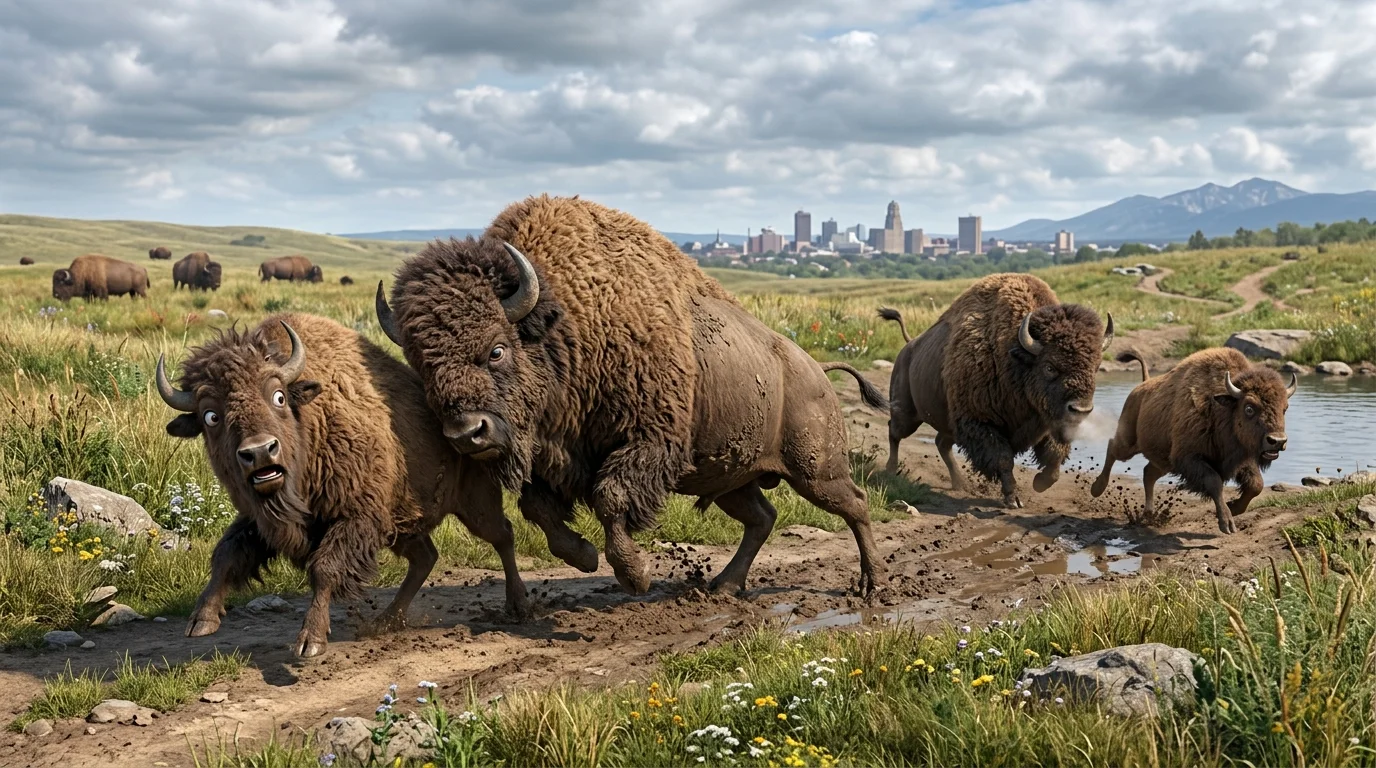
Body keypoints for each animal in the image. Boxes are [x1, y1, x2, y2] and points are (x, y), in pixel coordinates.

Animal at [156, 314, 526, 657]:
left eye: (278, 397)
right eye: (210, 417)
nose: (260, 451)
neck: (309, 422)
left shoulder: (357, 517)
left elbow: (325, 568)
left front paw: (311, 641)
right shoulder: (259, 518)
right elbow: (226, 554)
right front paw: (201, 620)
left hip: (475, 505)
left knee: (502, 535)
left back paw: (518, 605)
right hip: (404, 526)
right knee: (426, 558)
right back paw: (385, 621)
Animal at [376, 195, 888, 596]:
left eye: (496, 350)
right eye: (422, 367)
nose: (467, 434)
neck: (568, 322)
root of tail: (816, 370)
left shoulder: (649, 443)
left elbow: (612, 498)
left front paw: (635, 575)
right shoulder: (548, 456)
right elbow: (537, 508)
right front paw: (583, 556)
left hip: (815, 471)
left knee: (855, 503)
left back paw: (872, 583)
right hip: (732, 477)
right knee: (762, 517)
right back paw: (723, 586)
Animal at [878, 274, 1112, 508]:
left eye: (1096, 366)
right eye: (1049, 367)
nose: (1081, 410)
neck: (1013, 356)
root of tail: (909, 347)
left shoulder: (1048, 422)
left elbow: (1054, 455)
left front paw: (1040, 483)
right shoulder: (981, 422)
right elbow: (1003, 459)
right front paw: (1013, 499)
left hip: (948, 424)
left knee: (941, 444)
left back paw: (959, 483)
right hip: (907, 414)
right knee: (894, 431)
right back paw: (890, 470)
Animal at [1091, 348, 1296, 533]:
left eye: (1285, 408)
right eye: (1249, 408)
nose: (1277, 441)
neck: (1221, 408)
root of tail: (1142, 386)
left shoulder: (1240, 458)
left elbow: (1256, 485)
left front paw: (1235, 508)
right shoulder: (1189, 458)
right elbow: (1214, 482)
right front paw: (1227, 523)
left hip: (1164, 461)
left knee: (1148, 473)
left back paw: (1148, 515)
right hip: (1129, 443)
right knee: (1112, 448)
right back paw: (1097, 488)